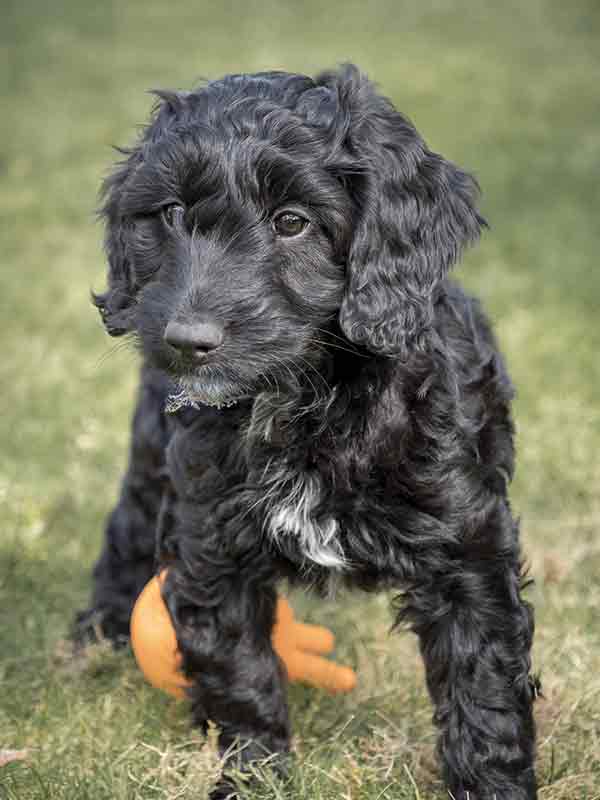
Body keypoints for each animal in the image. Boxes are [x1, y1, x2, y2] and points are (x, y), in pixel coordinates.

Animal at [75, 65, 540, 796]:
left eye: (292, 222)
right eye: (171, 214)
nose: (187, 340)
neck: (302, 398)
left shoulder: (469, 548)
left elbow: (483, 687)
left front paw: (494, 784)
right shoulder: (211, 541)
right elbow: (240, 669)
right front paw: (254, 775)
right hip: (155, 447)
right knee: (129, 521)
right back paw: (97, 630)